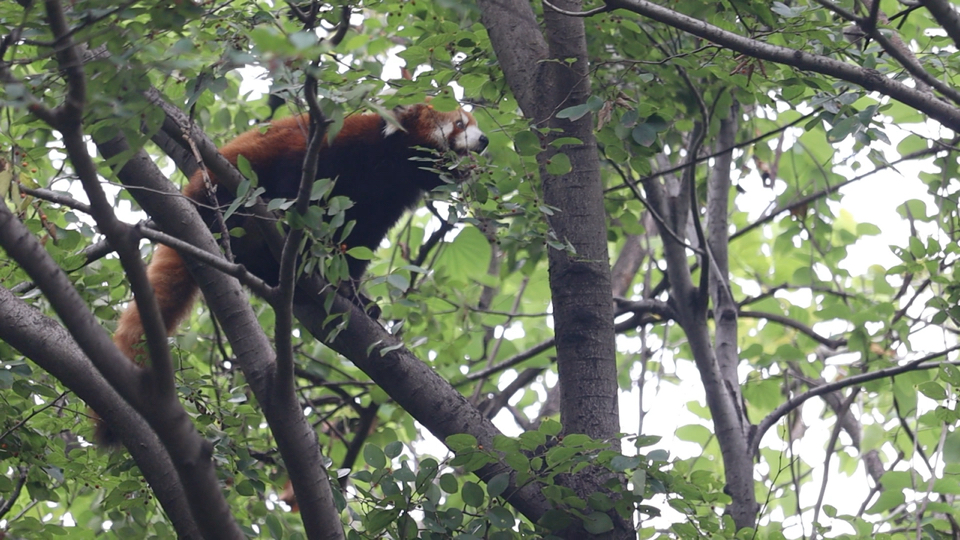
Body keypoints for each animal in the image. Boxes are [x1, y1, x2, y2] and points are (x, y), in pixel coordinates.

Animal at [109, 101, 488, 390]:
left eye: (473, 123)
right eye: (459, 124)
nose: (484, 139)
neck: (394, 165)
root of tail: (191, 198)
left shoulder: (383, 204)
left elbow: (356, 244)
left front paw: (354, 293)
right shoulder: (331, 148)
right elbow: (294, 183)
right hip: (223, 192)